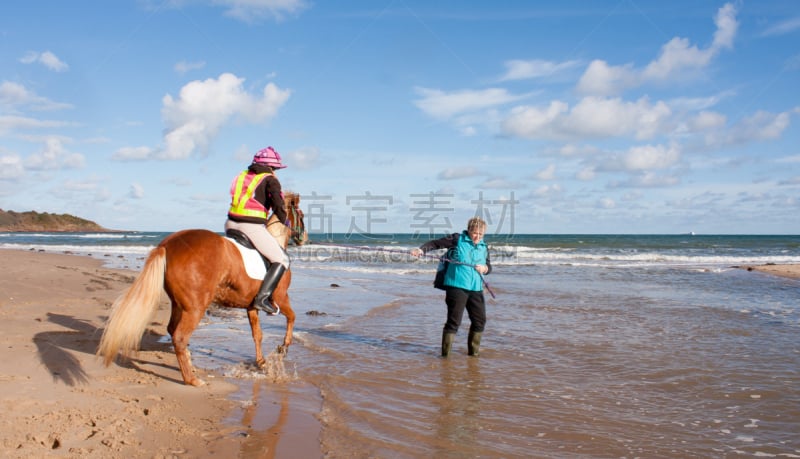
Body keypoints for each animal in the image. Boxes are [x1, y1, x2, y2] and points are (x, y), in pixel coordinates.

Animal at [97, 199, 304, 388]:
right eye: (301, 215)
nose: (303, 238)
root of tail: (167, 245)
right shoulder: (281, 298)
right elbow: (292, 317)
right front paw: (283, 348)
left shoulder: (251, 306)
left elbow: (257, 334)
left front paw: (261, 362)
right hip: (196, 307)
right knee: (180, 337)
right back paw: (192, 380)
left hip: (179, 304)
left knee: (172, 330)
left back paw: (190, 365)